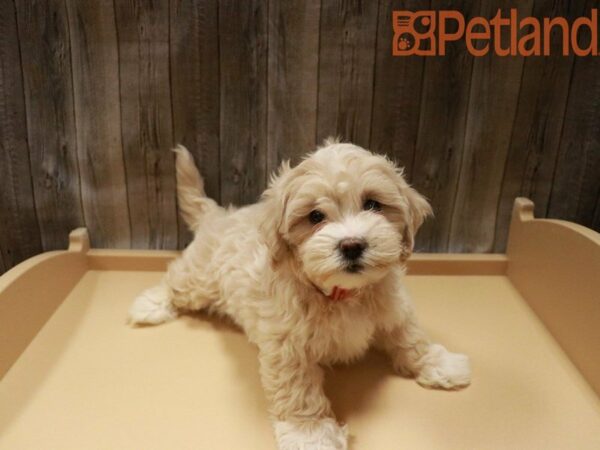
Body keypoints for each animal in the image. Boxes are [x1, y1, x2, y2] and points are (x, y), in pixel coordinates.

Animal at [129, 139, 472, 448]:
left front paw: (439, 363)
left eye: (373, 204)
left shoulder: (392, 307)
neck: (341, 294)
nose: (352, 245)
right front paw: (311, 434)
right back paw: (150, 305)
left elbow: (410, 337)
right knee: (177, 280)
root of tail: (219, 215)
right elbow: (298, 390)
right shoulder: (287, 345)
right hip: (200, 278)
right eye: (315, 216)